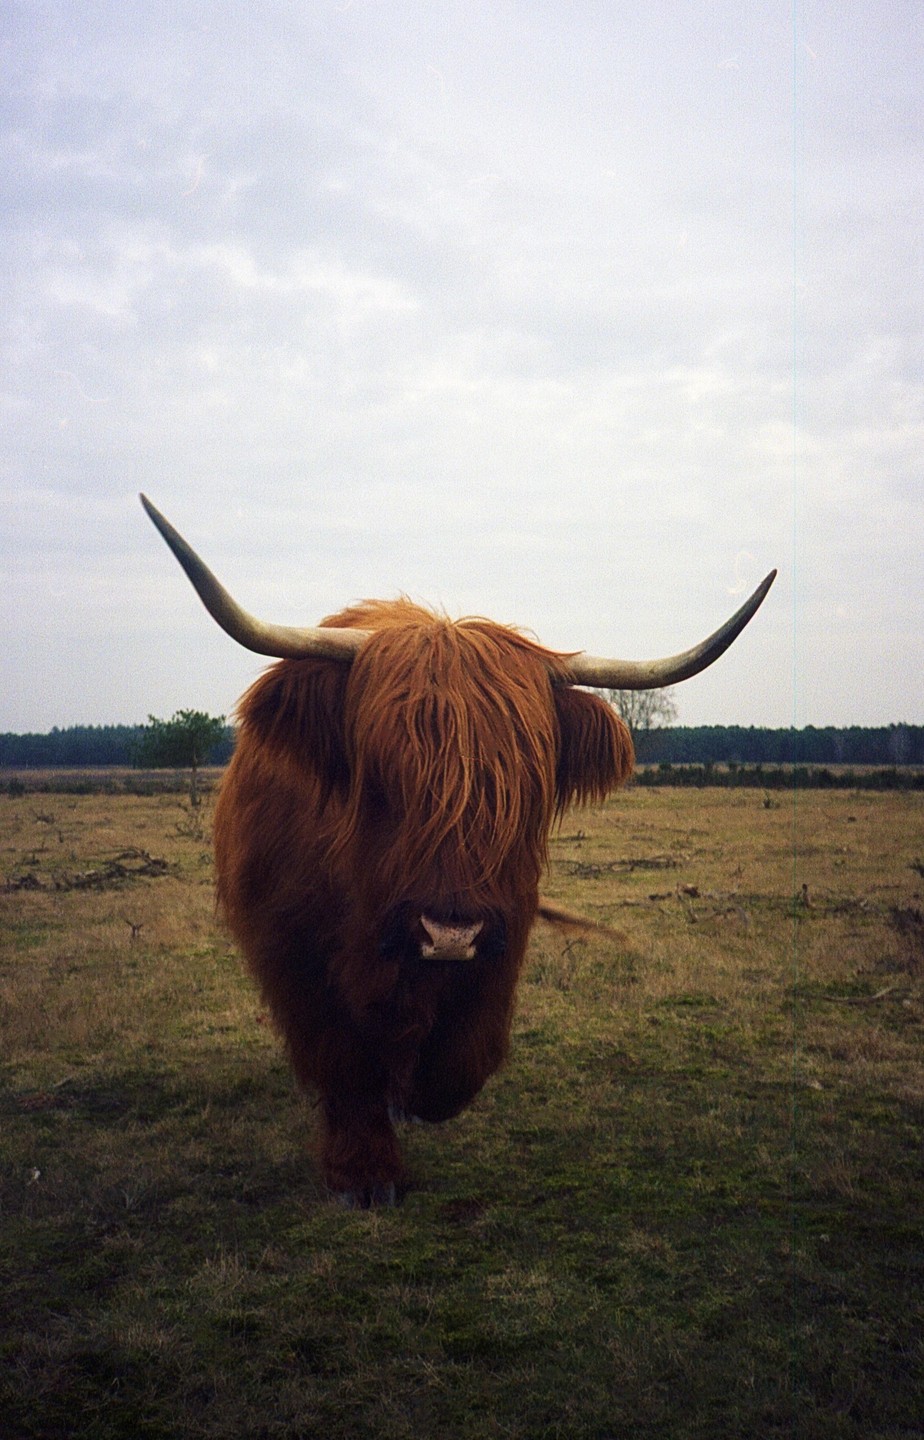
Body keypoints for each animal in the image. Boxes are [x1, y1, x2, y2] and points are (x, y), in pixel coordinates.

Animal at [141, 495, 774, 1205]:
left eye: (524, 789)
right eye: (381, 777)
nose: (449, 930)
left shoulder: (502, 937)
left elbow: (463, 1058)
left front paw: (415, 1098)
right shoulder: (291, 951)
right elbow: (343, 1060)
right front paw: (362, 1174)